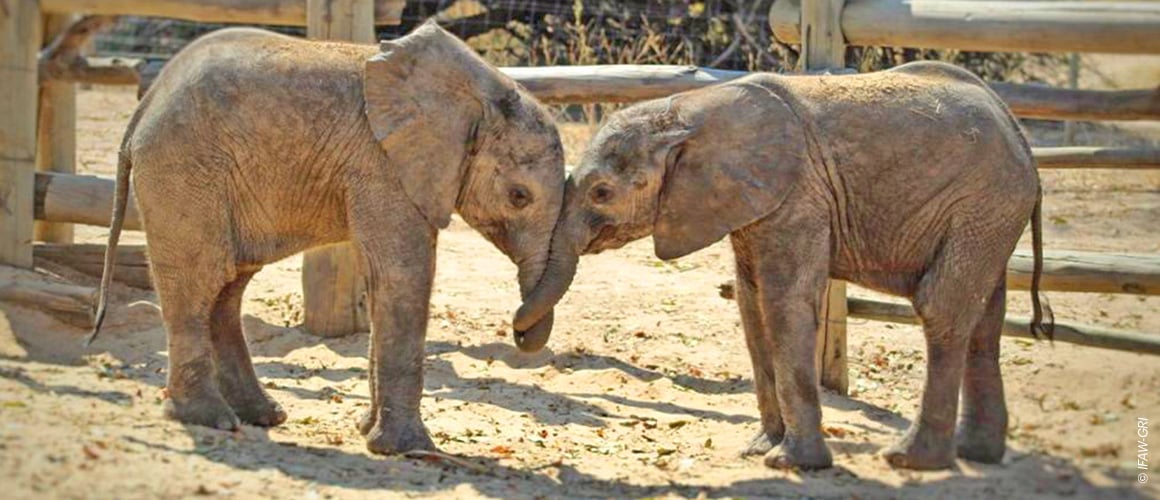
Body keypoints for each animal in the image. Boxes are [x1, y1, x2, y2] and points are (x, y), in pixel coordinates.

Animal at [88, 22, 566, 455]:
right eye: (519, 196)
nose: (518, 331)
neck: (480, 84)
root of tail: (145, 104)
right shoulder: (382, 165)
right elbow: (402, 276)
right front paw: (410, 451)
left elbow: (383, 283)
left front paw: (367, 433)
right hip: (183, 171)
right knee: (199, 279)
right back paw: (210, 420)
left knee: (227, 288)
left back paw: (261, 416)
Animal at [514, 61, 1052, 470]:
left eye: (602, 193)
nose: (520, 333)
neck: (688, 110)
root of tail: (1018, 130)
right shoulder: (751, 201)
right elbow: (751, 303)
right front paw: (760, 450)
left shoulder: (797, 195)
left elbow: (782, 300)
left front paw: (792, 464)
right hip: (990, 215)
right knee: (984, 321)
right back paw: (976, 456)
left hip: (981, 203)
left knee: (942, 308)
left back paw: (911, 460)